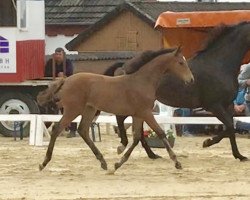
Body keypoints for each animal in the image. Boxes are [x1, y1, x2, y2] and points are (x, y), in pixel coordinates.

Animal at [37, 47, 194, 172]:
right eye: (181, 63)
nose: (191, 80)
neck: (142, 81)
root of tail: (66, 80)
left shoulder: (138, 114)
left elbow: (137, 137)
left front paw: (118, 164)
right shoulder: (146, 113)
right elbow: (160, 133)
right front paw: (177, 162)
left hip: (89, 109)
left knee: (83, 130)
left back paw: (103, 162)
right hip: (73, 110)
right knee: (57, 128)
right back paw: (44, 162)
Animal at [107, 21, 250, 161]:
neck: (218, 65)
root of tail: (123, 66)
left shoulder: (228, 105)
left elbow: (231, 128)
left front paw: (239, 155)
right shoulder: (214, 105)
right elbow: (230, 127)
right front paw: (207, 142)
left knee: (136, 128)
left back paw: (152, 154)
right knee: (120, 118)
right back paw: (123, 145)